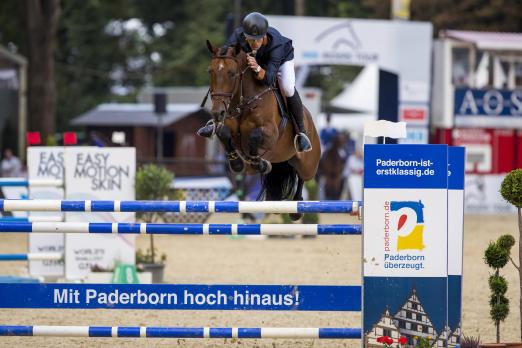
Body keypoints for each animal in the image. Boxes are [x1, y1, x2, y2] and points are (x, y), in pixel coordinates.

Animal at [204, 41, 318, 220]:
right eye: (211, 71)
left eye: (232, 73)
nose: (217, 113)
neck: (244, 102)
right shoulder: (226, 125)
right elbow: (223, 132)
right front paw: (237, 163)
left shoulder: (271, 133)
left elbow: (255, 136)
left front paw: (260, 163)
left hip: (308, 163)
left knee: (303, 176)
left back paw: (296, 208)